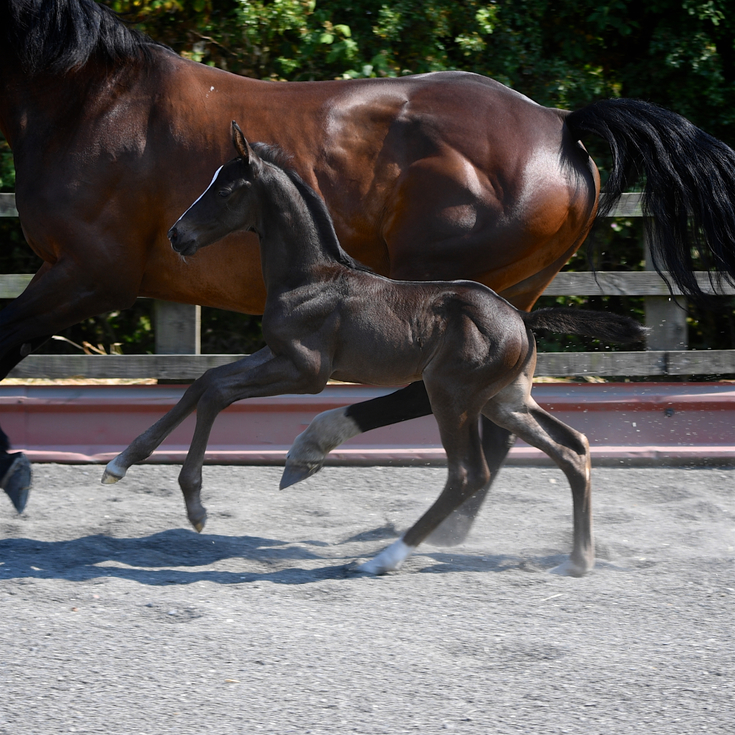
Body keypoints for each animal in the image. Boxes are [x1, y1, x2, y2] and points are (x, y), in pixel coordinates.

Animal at [101, 123, 646, 576]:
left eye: (226, 187)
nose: (177, 235)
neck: (310, 277)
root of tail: (521, 317)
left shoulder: (307, 372)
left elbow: (217, 394)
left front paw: (195, 505)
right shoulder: (275, 354)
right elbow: (204, 381)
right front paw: (120, 463)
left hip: (451, 394)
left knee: (468, 473)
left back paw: (383, 558)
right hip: (505, 401)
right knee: (572, 449)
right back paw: (577, 559)